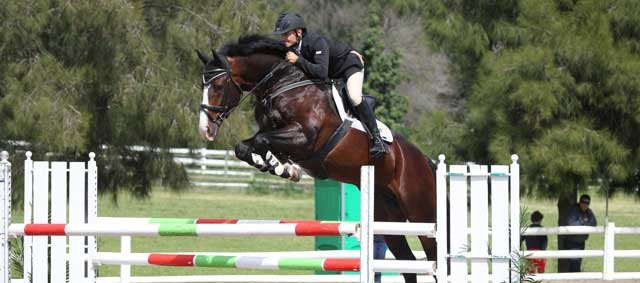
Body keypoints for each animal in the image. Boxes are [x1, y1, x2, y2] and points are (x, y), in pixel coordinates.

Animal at [195, 35, 436, 283]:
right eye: (202, 86)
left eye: (218, 86)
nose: (205, 129)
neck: (282, 84)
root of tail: (425, 161)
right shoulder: (275, 135)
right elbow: (244, 146)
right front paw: (277, 166)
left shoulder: (304, 138)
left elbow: (262, 141)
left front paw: (280, 167)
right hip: (386, 217)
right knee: (407, 262)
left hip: (422, 214)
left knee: (434, 255)